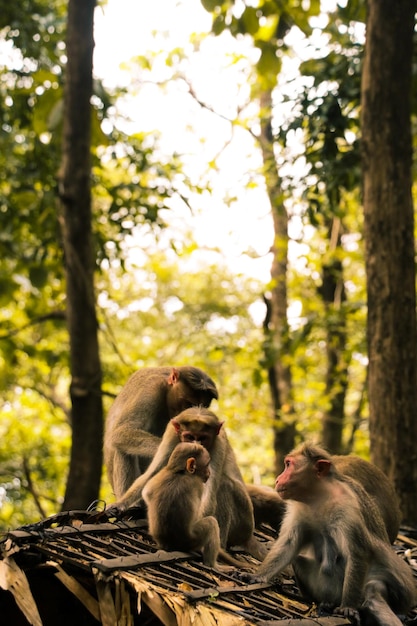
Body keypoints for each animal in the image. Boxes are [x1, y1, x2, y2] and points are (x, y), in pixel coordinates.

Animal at [104, 366, 218, 498]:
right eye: (189, 403)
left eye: (201, 406)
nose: (189, 415)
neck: (167, 387)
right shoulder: (152, 387)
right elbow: (122, 430)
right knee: (122, 449)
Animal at [112, 404, 264, 560]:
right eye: (190, 437)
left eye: (203, 438)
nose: (196, 445)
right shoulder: (171, 435)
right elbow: (152, 473)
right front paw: (120, 504)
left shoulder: (219, 442)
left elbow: (209, 493)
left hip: (244, 523)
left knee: (224, 485)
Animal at [249, 438, 414, 624]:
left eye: (289, 465)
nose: (278, 479)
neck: (318, 496)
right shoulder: (298, 508)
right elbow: (288, 544)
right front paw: (258, 576)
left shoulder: (348, 507)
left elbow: (357, 552)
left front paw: (348, 607)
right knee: (298, 560)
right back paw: (325, 603)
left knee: (373, 591)